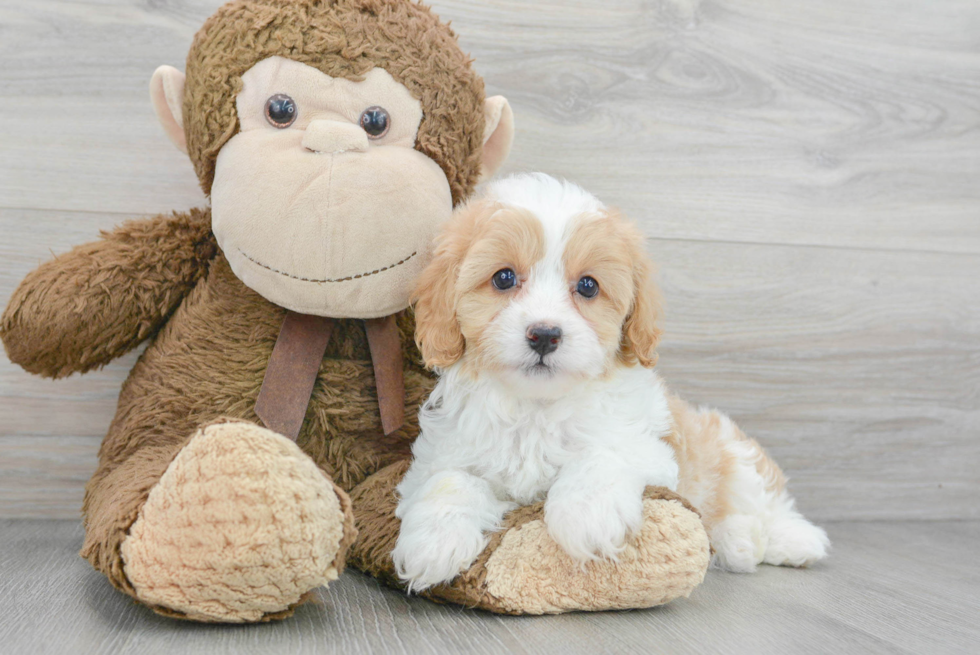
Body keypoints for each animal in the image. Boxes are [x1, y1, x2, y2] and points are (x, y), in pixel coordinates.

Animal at [390, 173, 828, 588]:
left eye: (588, 286)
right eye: (503, 278)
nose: (544, 335)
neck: (537, 408)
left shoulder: (649, 448)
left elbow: (604, 454)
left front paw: (587, 516)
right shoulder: (443, 454)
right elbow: (449, 481)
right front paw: (433, 542)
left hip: (730, 451)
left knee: (761, 499)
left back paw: (786, 540)